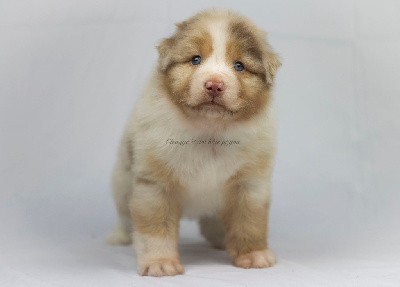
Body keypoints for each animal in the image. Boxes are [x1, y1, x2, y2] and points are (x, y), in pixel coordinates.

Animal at [107, 10, 282, 278]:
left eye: (239, 65)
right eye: (195, 60)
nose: (214, 85)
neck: (210, 132)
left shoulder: (250, 184)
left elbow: (250, 222)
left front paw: (254, 255)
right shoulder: (156, 185)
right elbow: (156, 229)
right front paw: (161, 264)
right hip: (122, 182)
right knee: (125, 216)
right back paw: (119, 237)